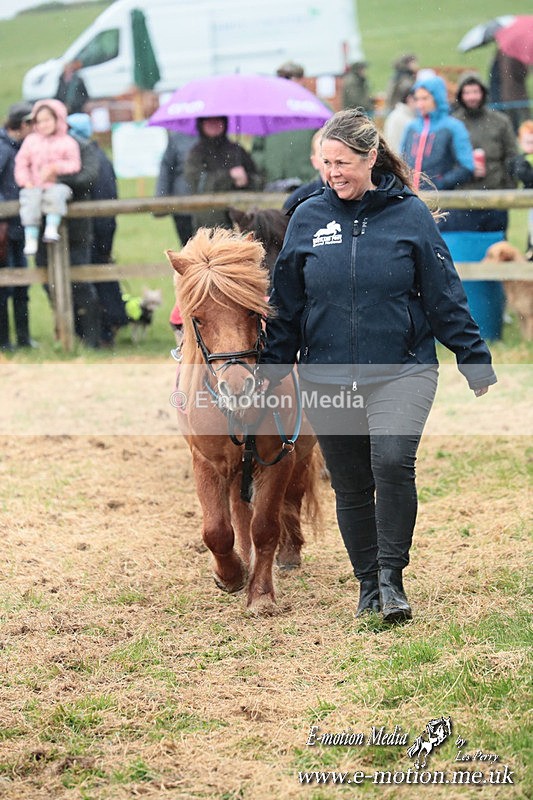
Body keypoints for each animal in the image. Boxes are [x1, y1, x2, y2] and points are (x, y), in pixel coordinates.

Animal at [166, 227, 320, 615]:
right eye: (198, 317)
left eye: (252, 312)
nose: (237, 386)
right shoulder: (207, 462)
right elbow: (217, 530)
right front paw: (231, 575)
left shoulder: (278, 458)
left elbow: (265, 526)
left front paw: (261, 594)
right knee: (238, 512)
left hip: (302, 451)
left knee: (292, 498)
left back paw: (288, 553)